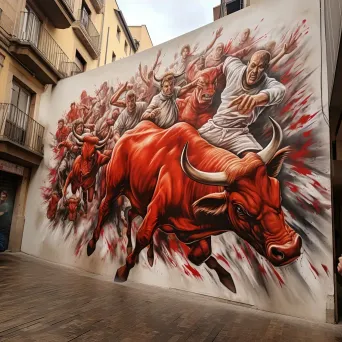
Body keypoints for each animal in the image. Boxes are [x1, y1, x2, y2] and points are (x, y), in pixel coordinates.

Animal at [86, 119, 302, 292]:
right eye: (239, 208)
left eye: (276, 190)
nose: (289, 249)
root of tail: (126, 135)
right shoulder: (155, 210)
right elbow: (144, 236)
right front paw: (123, 270)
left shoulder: (191, 229)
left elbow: (201, 254)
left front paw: (226, 278)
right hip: (114, 186)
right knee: (105, 209)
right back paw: (91, 245)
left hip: (138, 198)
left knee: (129, 213)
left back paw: (147, 254)